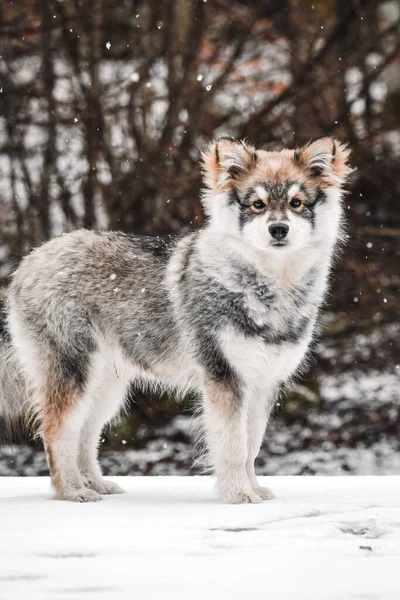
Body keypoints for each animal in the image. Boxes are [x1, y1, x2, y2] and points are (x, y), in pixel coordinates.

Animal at [0, 136, 350, 502]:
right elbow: (233, 447)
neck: (270, 285)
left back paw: (95, 484)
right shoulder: (224, 379)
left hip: (106, 387)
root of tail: (27, 262)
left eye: (297, 203)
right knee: (56, 431)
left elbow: (252, 446)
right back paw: (71, 491)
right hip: (74, 374)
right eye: (257, 204)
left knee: (85, 434)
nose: (278, 229)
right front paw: (238, 495)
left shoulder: (264, 383)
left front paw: (253, 489)